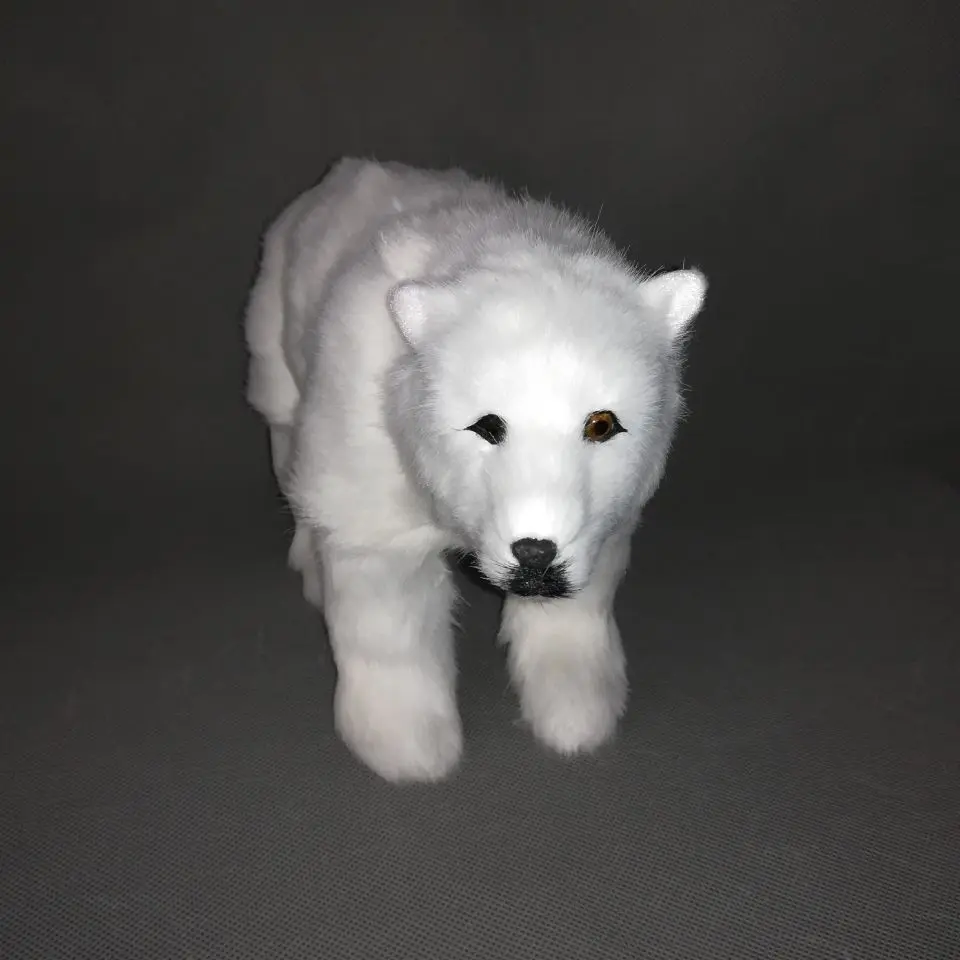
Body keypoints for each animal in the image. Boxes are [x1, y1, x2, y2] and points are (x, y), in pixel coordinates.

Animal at [245, 158, 706, 782]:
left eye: (602, 424)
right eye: (487, 425)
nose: (535, 553)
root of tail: (338, 174)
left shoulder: (603, 528)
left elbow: (573, 616)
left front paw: (576, 713)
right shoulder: (373, 494)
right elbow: (389, 624)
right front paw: (405, 746)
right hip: (278, 361)